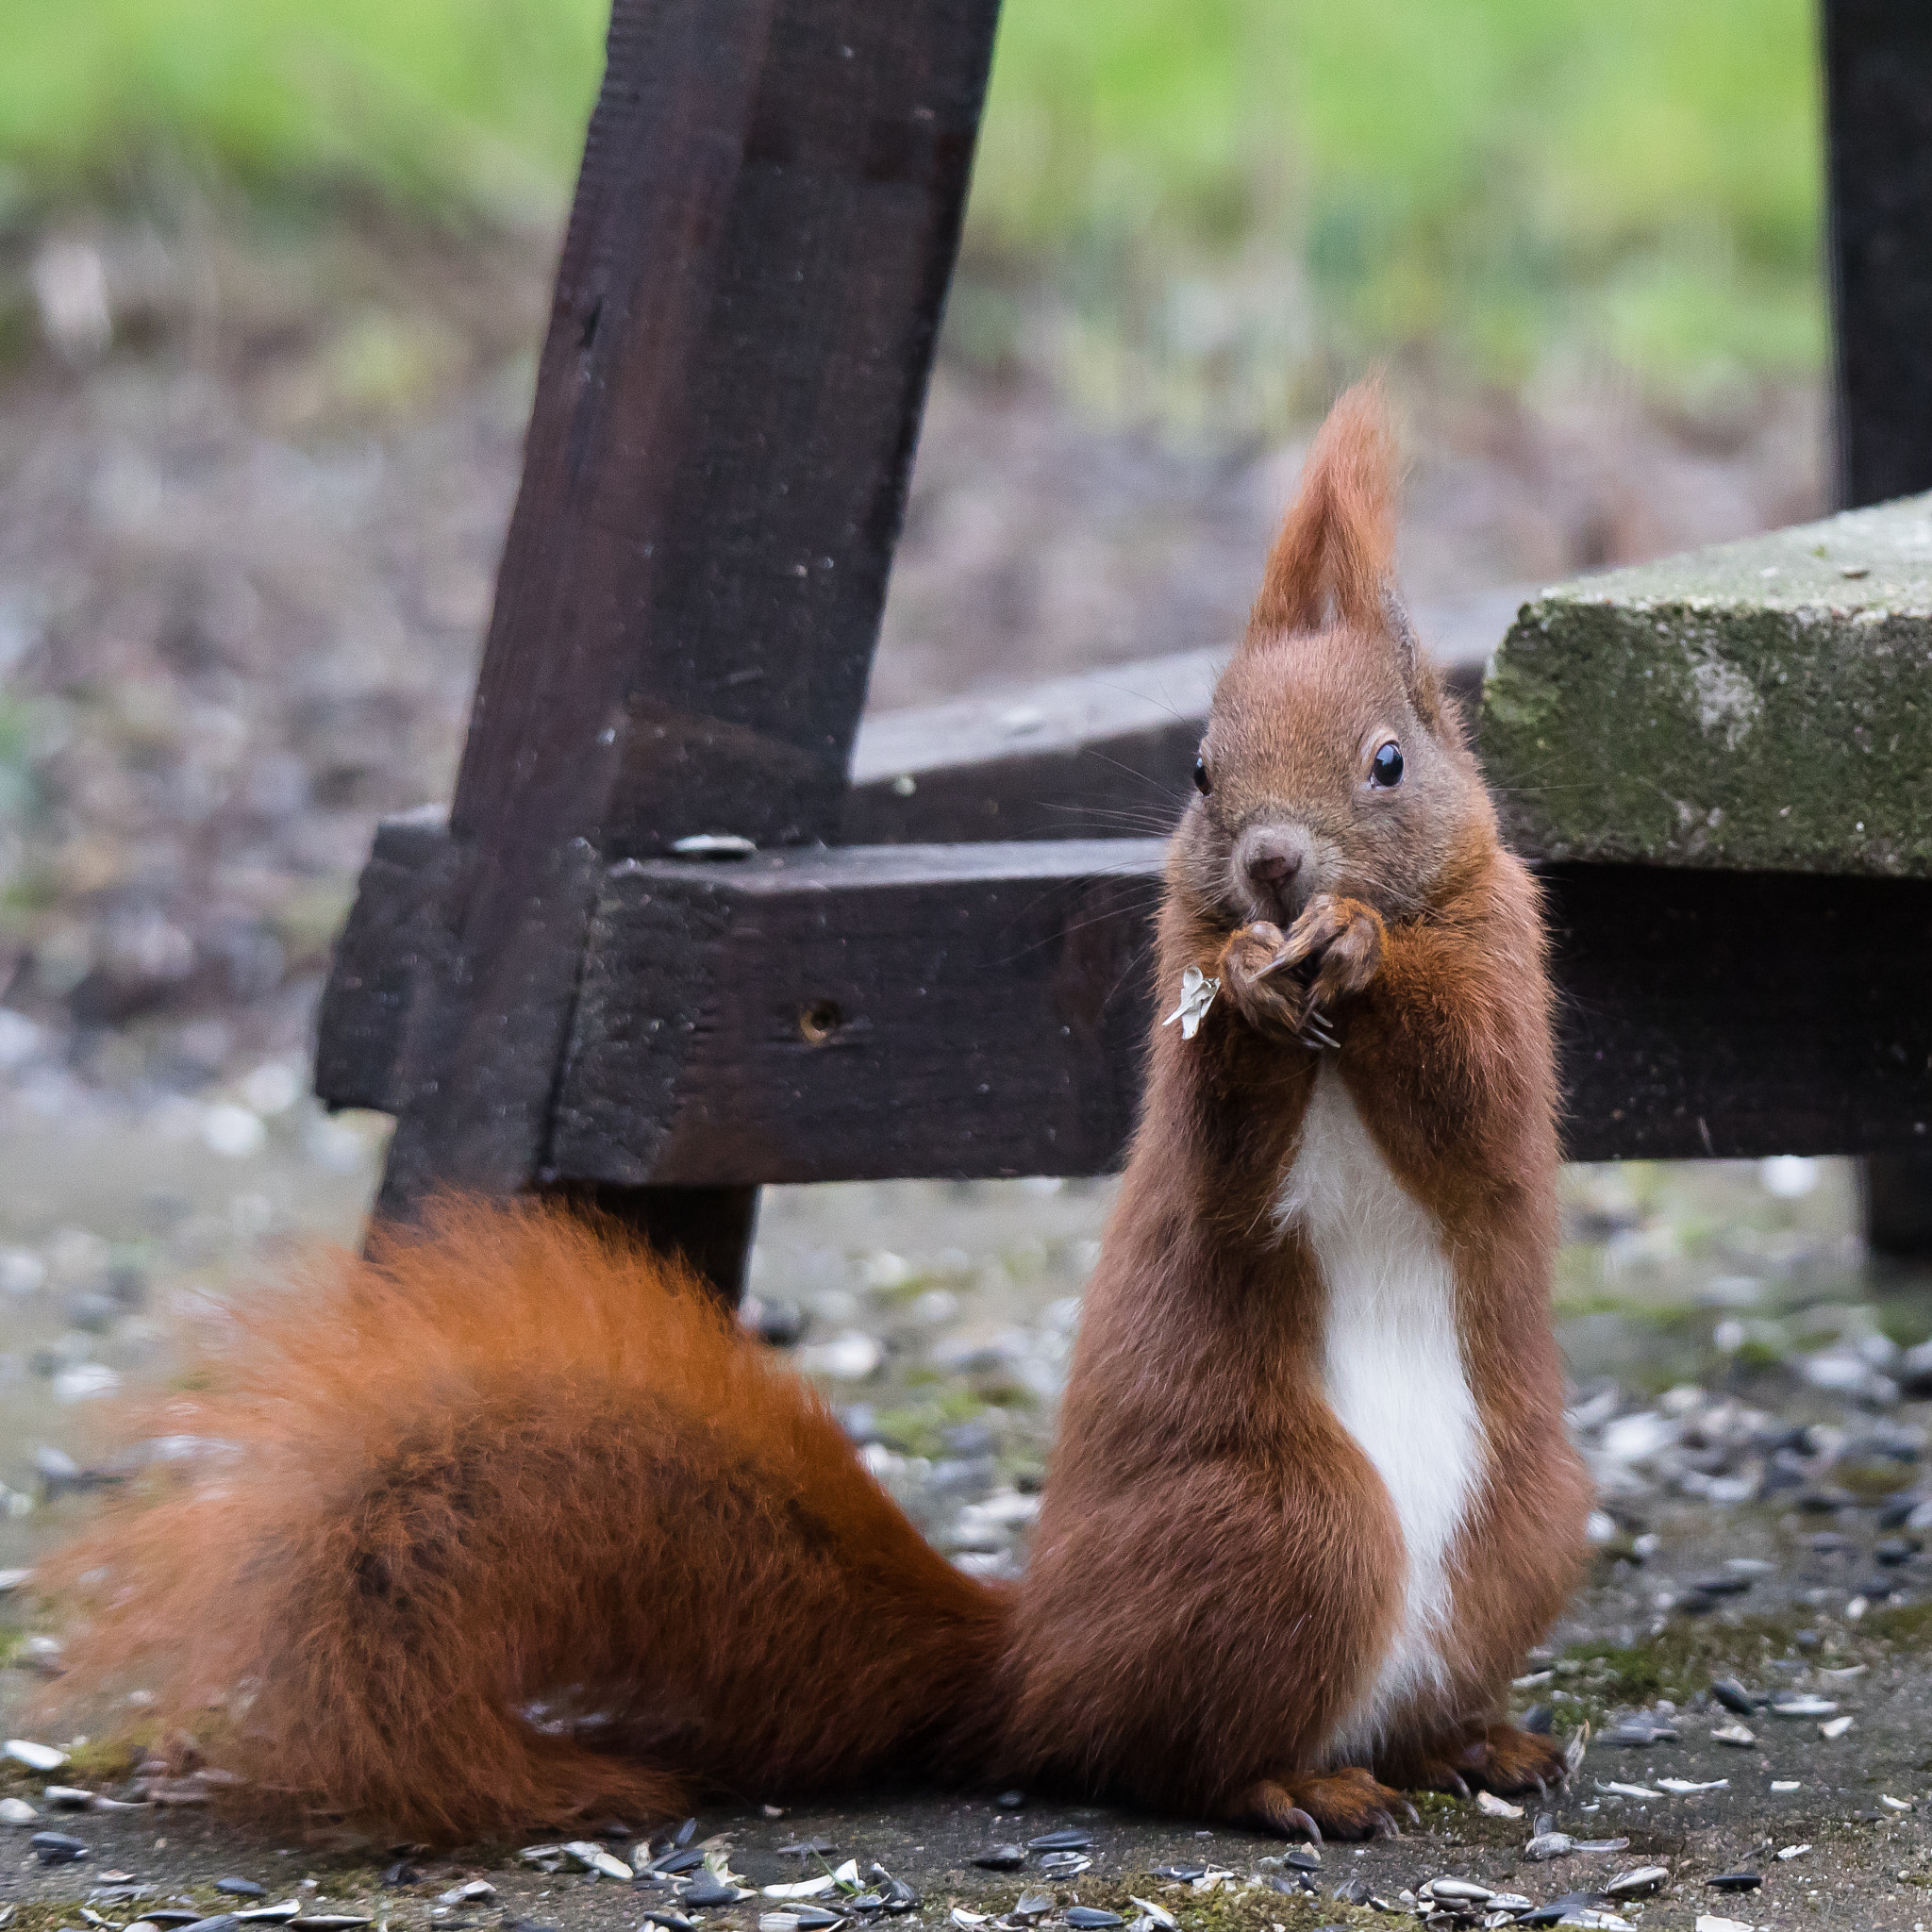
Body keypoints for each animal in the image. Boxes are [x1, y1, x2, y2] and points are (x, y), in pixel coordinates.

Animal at [40, 382, 1589, 1847]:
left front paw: (1358, 946)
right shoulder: (1176, 1007)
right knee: (1167, 1755)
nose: (1272, 863)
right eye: (1199, 770)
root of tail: (1033, 1663)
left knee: (1371, 1703)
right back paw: (1292, 1781)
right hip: (1281, 1527)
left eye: (1389, 761)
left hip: (1522, 1529)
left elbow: (1475, 1103)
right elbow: (1217, 1156)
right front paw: (1264, 978)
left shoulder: (1511, 966)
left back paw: (1467, 1744)